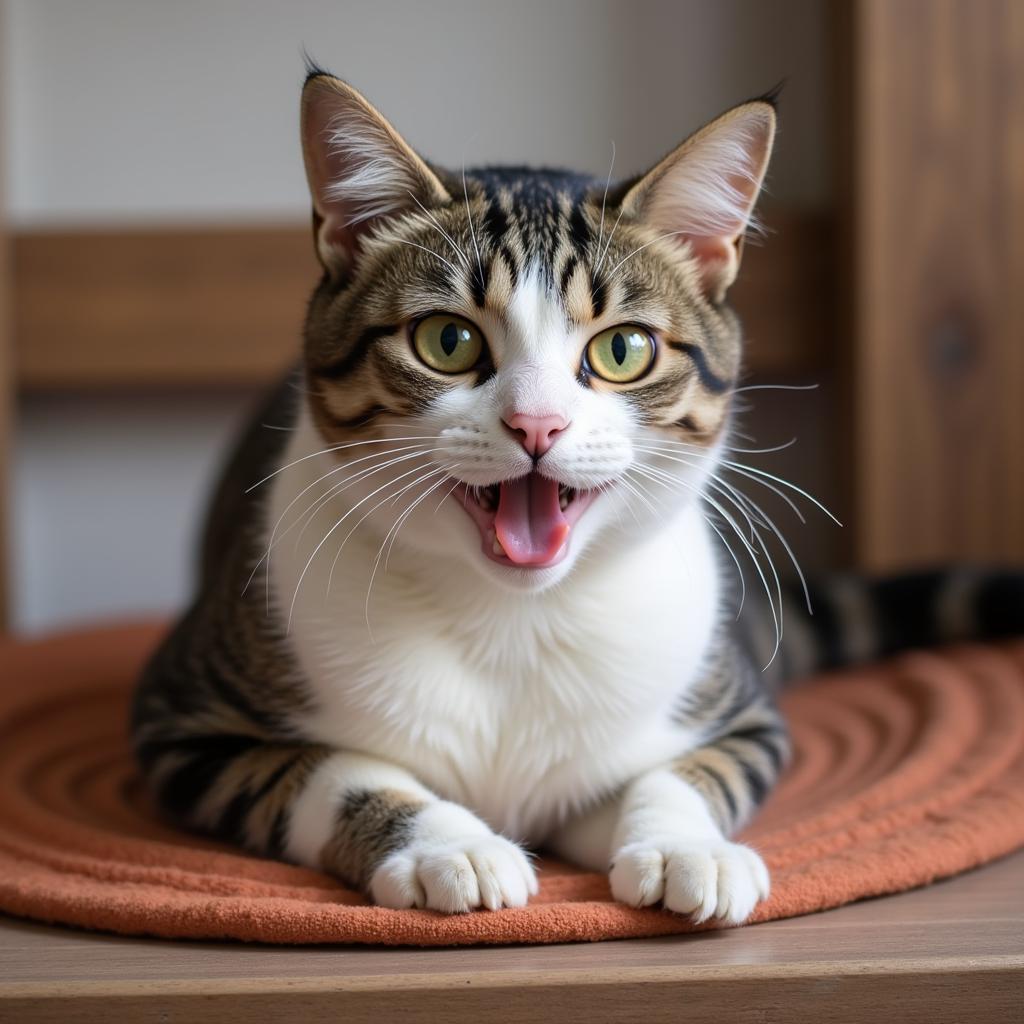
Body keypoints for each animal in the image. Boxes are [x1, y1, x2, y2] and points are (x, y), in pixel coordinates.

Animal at [132, 68, 1019, 925]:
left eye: (623, 349)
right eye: (447, 341)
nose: (537, 423)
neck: (512, 621)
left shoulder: (743, 717)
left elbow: (680, 773)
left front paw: (686, 845)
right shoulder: (188, 723)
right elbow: (336, 771)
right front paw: (446, 843)